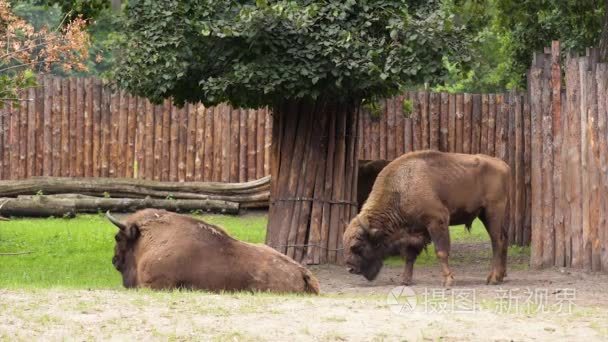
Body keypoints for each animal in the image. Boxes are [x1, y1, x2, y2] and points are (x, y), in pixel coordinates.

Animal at [344, 151, 510, 288]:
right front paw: (405, 280)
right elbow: (410, 255)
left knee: (497, 241)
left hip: (492, 212)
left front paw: (448, 281)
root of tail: (503, 165)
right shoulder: (416, 231)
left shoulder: (437, 221)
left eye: (357, 246)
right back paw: (501, 277)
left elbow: (441, 251)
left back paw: (492, 279)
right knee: (503, 239)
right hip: (486, 215)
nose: (351, 268)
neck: (402, 189)